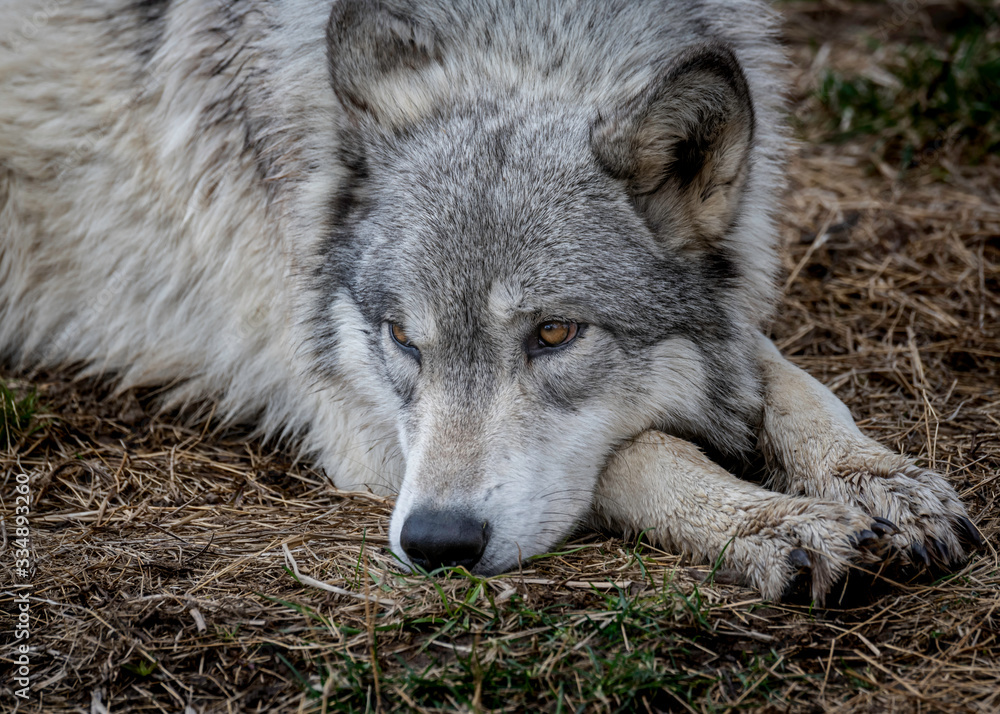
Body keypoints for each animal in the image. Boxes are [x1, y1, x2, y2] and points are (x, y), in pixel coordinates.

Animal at [0, 0, 981, 601]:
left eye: (554, 333)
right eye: (402, 337)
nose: (438, 544)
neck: (522, 39)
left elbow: (796, 387)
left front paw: (884, 484)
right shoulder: (357, 425)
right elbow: (640, 453)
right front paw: (774, 522)